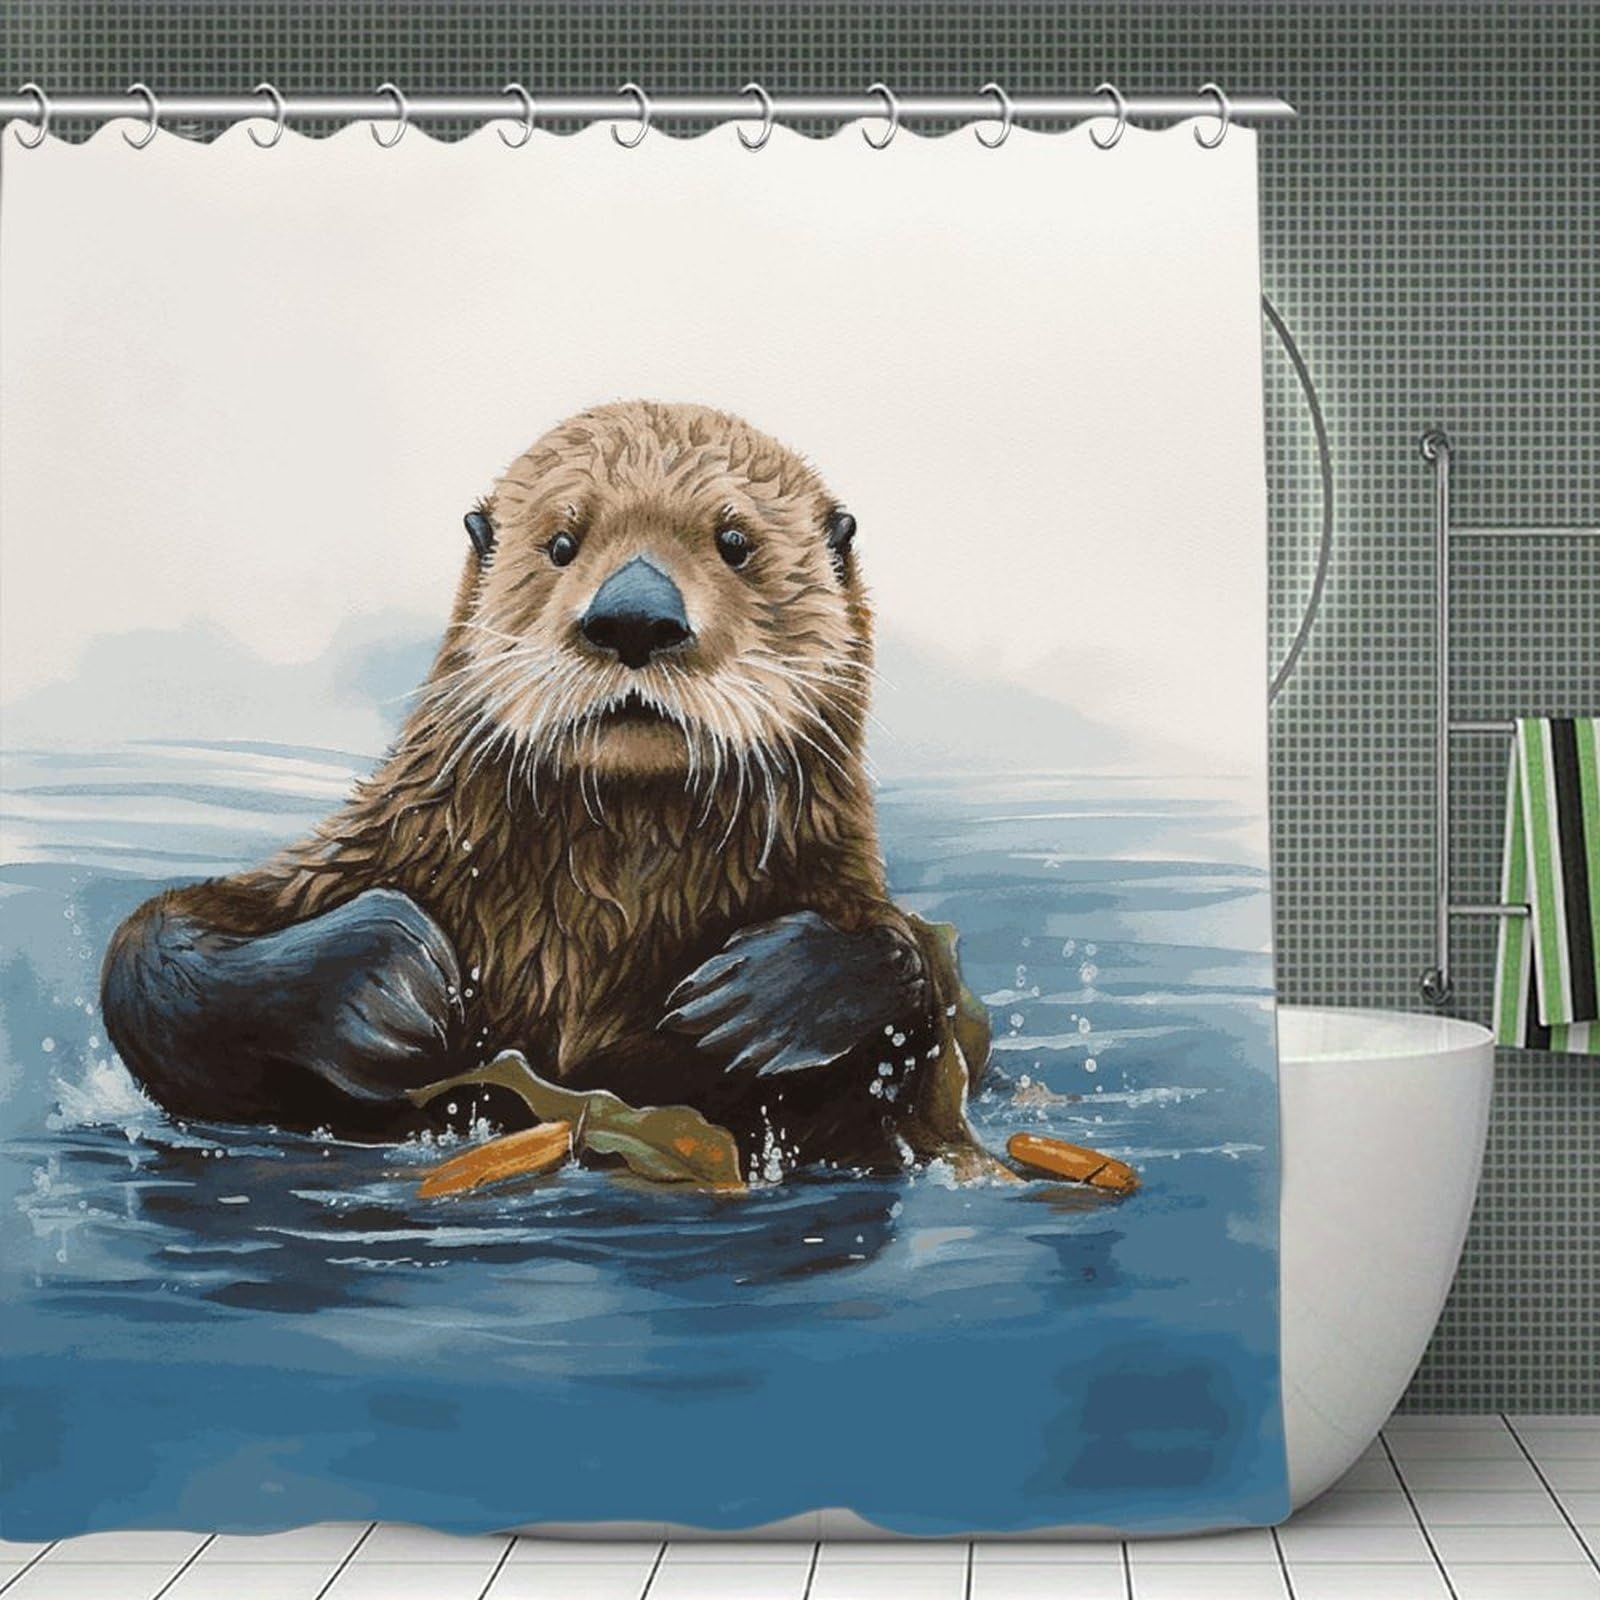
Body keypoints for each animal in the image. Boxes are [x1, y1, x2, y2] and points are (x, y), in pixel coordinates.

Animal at [100, 401, 980, 1176]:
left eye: (735, 543)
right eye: (561, 543)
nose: (635, 616)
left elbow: (917, 1008)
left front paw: (772, 995)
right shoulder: (362, 854)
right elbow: (157, 955)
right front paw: (383, 976)